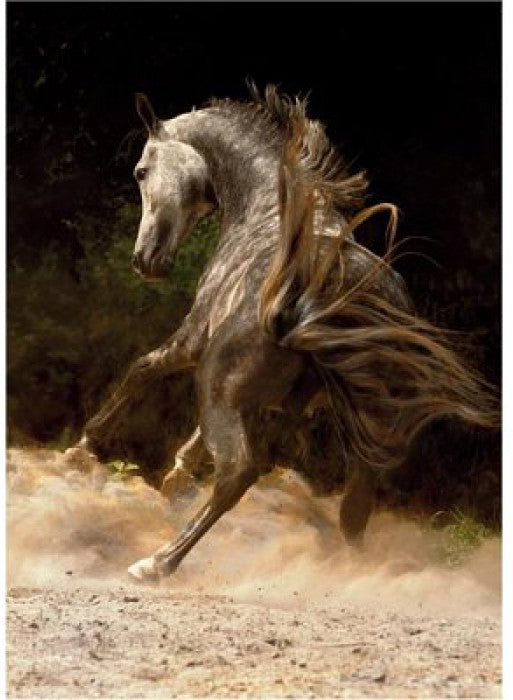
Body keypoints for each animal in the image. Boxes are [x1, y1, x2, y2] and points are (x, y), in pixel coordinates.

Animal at [80, 86, 498, 582]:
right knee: (354, 508)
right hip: (365, 420)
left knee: (237, 473)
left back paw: (157, 562)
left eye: (141, 171)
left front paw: (82, 449)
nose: (146, 261)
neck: (267, 209)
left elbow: (139, 371)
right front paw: (174, 477)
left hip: (217, 390)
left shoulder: (192, 344)